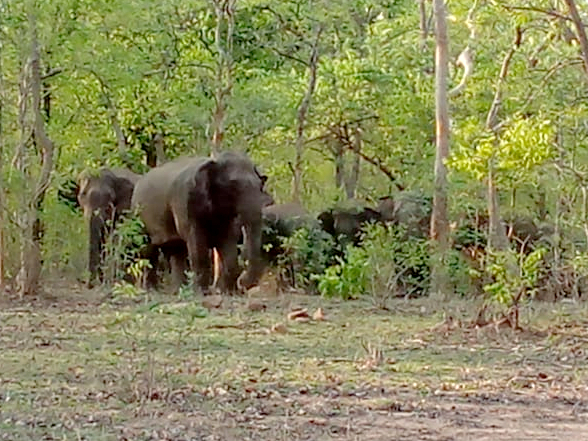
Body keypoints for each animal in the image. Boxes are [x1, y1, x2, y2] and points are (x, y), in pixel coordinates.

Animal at [130, 150, 268, 294]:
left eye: (260, 185)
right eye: (233, 185)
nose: (242, 282)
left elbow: (228, 244)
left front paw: (230, 293)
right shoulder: (186, 203)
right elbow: (197, 246)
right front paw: (202, 293)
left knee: (176, 251)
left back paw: (178, 290)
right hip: (139, 217)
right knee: (148, 252)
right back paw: (151, 290)